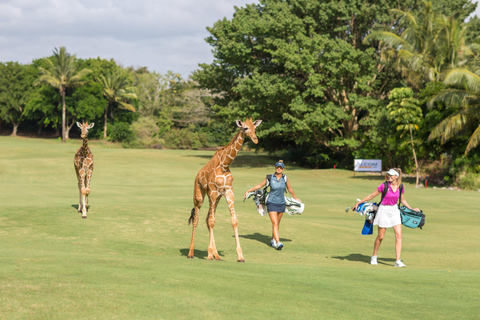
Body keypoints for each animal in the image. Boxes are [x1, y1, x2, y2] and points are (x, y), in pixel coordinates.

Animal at [188, 117, 262, 262]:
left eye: (255, 127)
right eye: (245, 128)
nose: (255, 139)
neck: (225, 164)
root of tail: (197, 175)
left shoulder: (228, 191)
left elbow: (233, 220)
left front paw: (240, 256)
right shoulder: (212, 191)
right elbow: (212, 221)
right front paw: (209, 254)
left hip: (217, 198)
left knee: (207, 219)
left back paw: (216, 255)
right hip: (199, 195)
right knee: (197, 219)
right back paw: (191, 253)